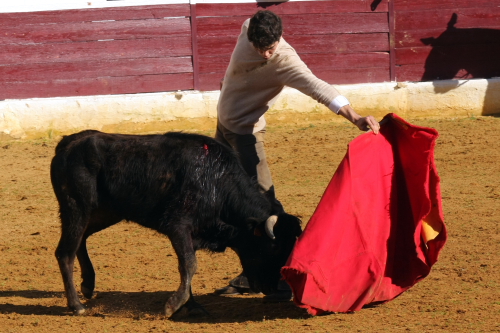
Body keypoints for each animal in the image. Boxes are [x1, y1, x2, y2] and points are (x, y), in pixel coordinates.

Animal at [50, 130, 300, 316]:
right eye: (274, 247)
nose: (271, 288)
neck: (217, 183)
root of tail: (67, 143)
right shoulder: (178, 226)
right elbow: (189, 264)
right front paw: (174, 305)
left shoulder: (192, 234)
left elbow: (187, 267)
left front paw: (192, 306)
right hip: (77, 207)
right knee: (65, 252)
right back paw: (77, 305)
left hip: (105, 212)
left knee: (81, 240)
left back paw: (88, 285)